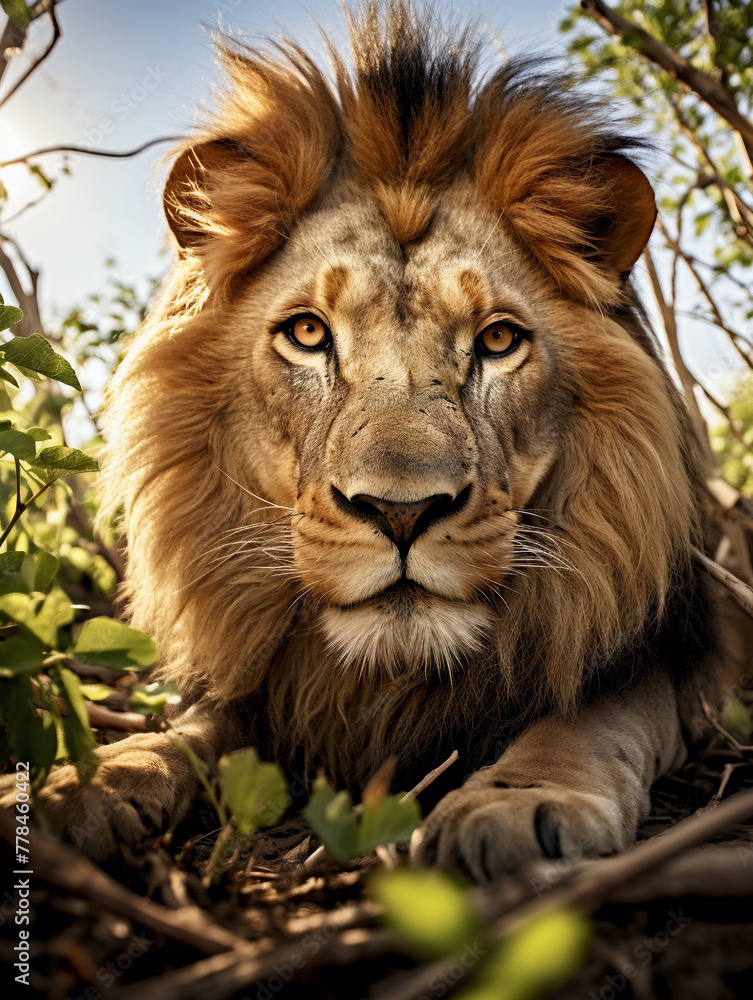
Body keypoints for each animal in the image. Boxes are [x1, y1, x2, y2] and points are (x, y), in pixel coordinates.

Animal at [12, 1, 722, 879]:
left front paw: (517, 804)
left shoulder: (660, 663)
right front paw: (84, 780)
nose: (402, 513)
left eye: (496, 340)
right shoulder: (261, 690)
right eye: (308, 334)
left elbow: (586, 720)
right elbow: (186, 731)